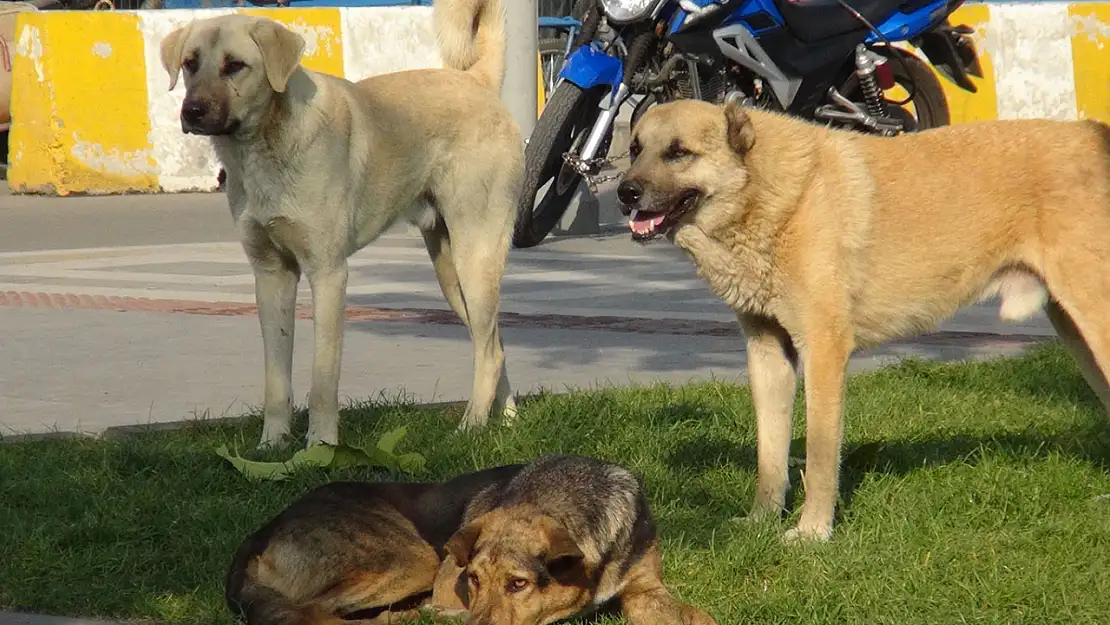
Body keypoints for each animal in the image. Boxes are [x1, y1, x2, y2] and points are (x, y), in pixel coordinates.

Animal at [158, 0, 521, 448]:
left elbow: (322, 380)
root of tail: (477, 81)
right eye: (190, 64)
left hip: (475, 257)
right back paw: (505, 423)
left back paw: (470, 428)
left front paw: (321, 446)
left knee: (489, 351)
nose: (191, 111)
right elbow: (276, 379)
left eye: (235, 66)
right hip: (452, 273)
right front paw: (272, 444)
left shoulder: (328, 274)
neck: (265, 145)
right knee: (494, 344)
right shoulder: (272, 276)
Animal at [226, 455, 714, 625]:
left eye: (518, 584)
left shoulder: (646, 589)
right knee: (311, 612)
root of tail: (261, 530)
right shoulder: (451, 582)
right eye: (472, 579)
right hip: (414, 559)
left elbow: (699, 617)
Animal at [617, 98, 1110, 543]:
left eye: (679, 152)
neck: (770, 194)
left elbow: (819, 456)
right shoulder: (768, 354)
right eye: (635, 148)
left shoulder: (824, 351)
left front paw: (812, 532)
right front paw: (762, 520)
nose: (625, 193)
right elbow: (770, 454)